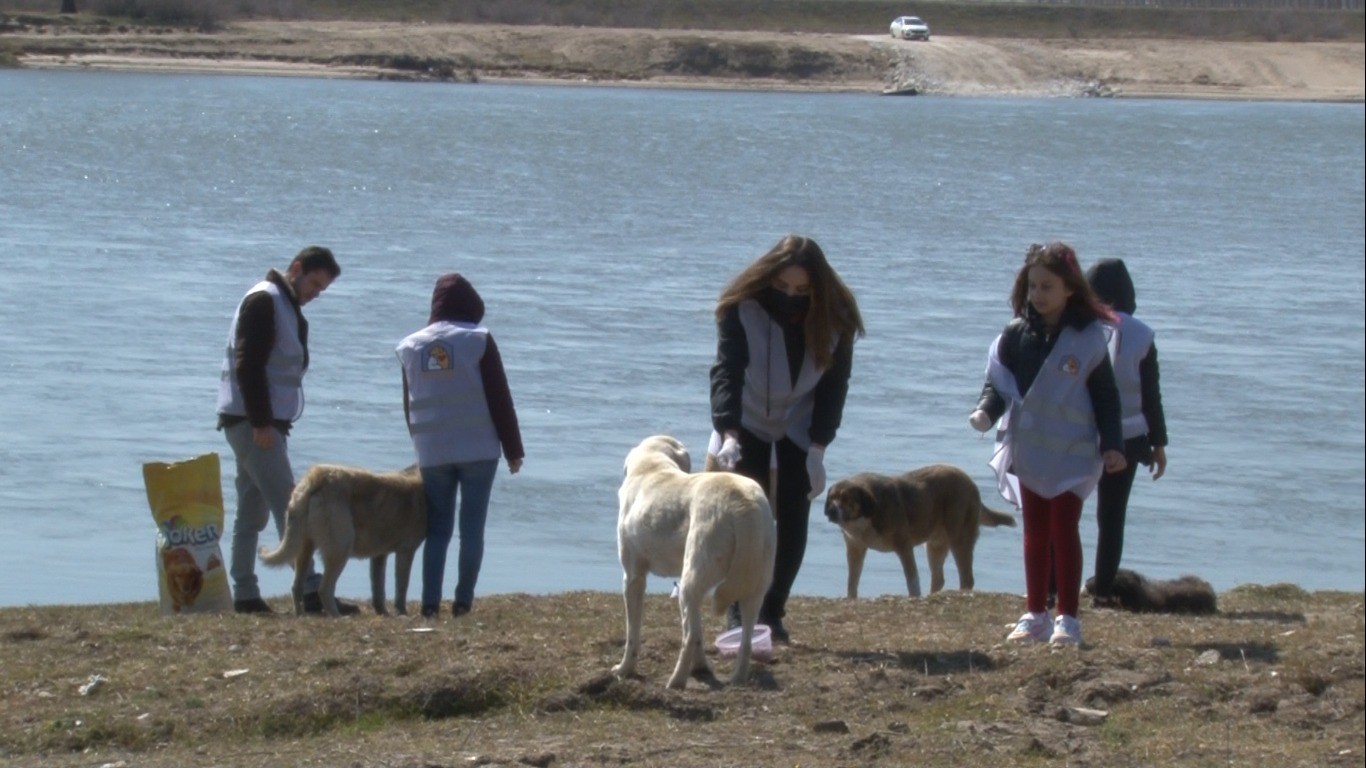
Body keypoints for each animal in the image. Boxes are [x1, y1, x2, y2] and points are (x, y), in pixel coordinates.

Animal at [258, 459, 423, 614]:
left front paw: (383, 613)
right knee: (324, 590)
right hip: (341, 550)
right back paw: (337, 617)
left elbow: (378, 590)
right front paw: (402, 612)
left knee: (296, 587)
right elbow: (402, 588)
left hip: (304, 548)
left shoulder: (379, 556)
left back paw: (301, 616)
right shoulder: (406, 552)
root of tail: (317, 477)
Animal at [611, 431, 775, 688]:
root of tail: (744, 505)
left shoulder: (633, 578)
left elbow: (632, 634)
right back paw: (737, 678)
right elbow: (698, 631)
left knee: (687, 638)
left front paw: (624, 669)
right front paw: (701, 668)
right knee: (746, 640)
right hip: (752, 587)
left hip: (691, 580)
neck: (653, 466)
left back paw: (676, 681)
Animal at [819, 459, 1016, 598]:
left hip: (959, 538)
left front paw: (913, 597)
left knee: (967, 577)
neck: (868, 512)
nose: (831, 511)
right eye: (833, 497)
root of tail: (969, 480)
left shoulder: (904, 546)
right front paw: (850, 598)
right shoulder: (855, 548)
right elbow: (852, 580)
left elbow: (912, 578)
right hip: (935, 545)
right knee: (939, 578)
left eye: (846, 499)